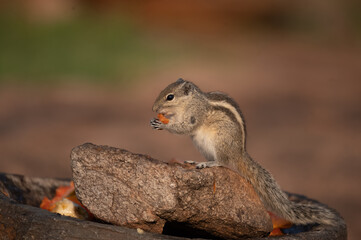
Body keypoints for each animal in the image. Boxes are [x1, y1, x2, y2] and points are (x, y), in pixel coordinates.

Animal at [149, 78, 344, 227]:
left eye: (170, 97)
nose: (154, 109)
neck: (190, 102)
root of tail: (239, 153)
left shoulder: (194, 115)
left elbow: (184, 127)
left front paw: (163, 124)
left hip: (219, 141)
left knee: (222, 162)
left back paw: (208, 163)